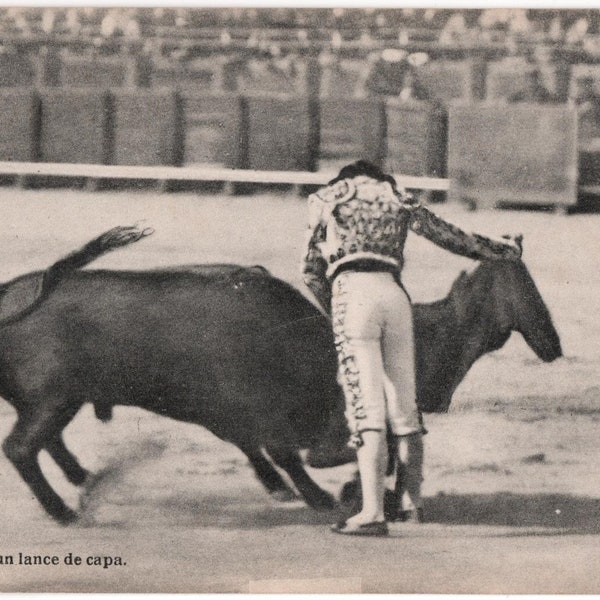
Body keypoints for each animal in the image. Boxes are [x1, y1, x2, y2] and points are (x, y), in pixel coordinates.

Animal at [0, 227, 564, 524]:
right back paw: (65, 510)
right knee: (21, 447)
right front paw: (340, 496)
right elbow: (313, 455)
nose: (554, 345)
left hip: (57, 400)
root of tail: (14, 292)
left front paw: (341, 495)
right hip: (54, 398)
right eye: (526, 285)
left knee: (44, 443)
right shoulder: (293, 422)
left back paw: (83, 483)